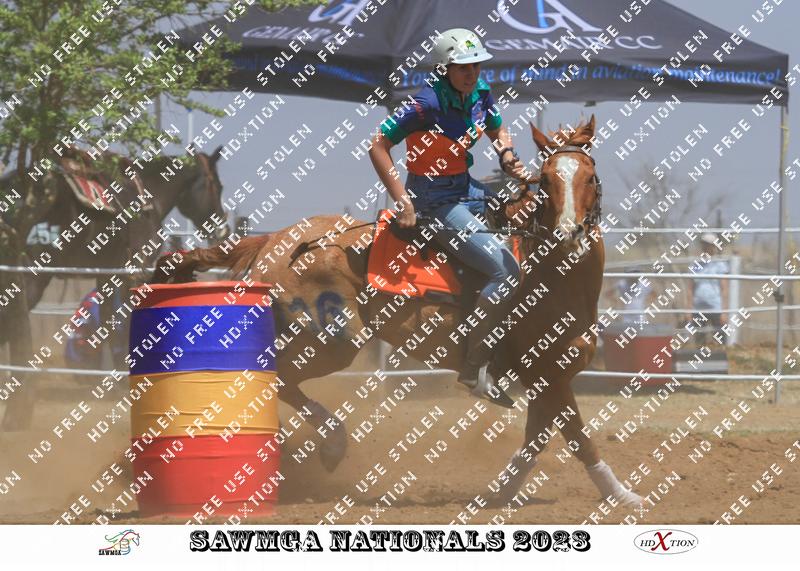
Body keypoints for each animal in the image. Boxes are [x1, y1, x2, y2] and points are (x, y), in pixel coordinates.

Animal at [150, 116, 643, 508]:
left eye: (590, 177)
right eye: (547, 180)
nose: (568, 234)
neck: (550, 276)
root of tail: (275, 239)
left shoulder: (550, 376)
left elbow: (536, 439)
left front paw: (500, 494)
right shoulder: (546, 371)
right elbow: (577, 437)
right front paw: (623, 495)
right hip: (331, 339)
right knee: (281, 377)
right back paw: (331, 445)